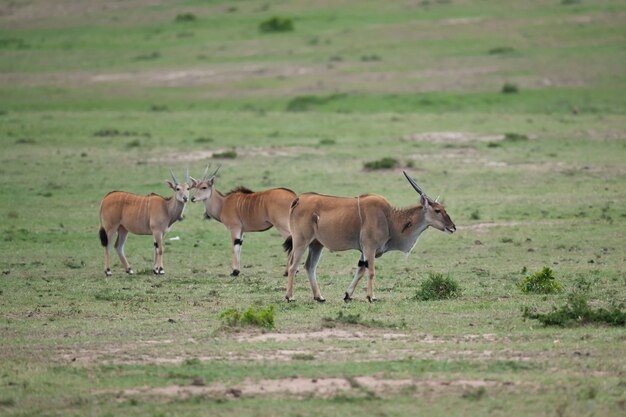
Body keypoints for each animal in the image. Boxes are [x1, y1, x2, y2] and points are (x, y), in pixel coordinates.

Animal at [282, 171, 454, 302]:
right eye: (437, 210)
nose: (453, 227)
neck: (389, 218)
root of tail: (299, 199)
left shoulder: (364, 251)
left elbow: (361, 270)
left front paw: (348, 295)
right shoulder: (370, 248)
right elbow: (370, 272)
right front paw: (371, 297)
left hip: (316, 244)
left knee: (309, 266)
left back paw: (319, 297)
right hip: (301, 241)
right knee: (293, 266)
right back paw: (290, 297)